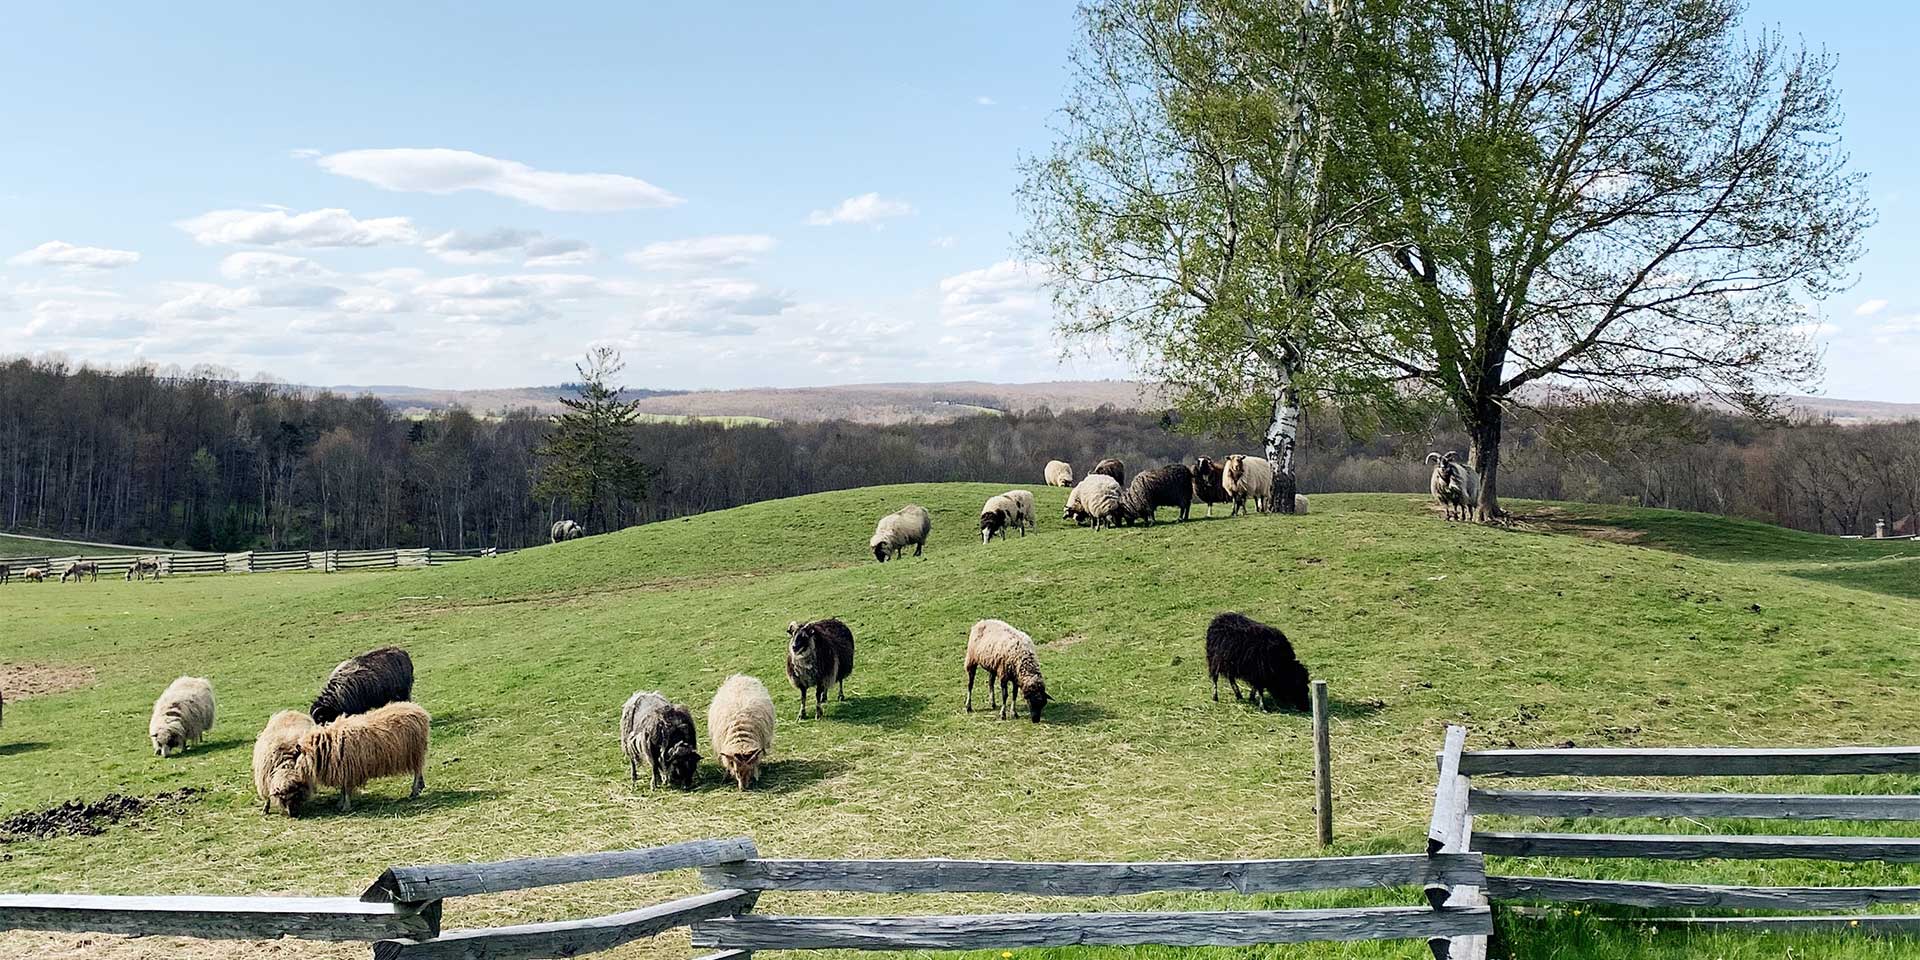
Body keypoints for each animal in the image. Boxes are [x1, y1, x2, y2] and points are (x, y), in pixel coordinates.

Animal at [270, 702, 428, 814]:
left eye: (296, 754)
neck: (326, 744)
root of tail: (419, 710)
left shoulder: (348, 769)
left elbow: (346, 789)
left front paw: (345, 806)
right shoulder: (342, 769)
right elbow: (342, 789)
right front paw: (340, 803)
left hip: (416, 752)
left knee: (417, 771)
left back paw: (414, 791)